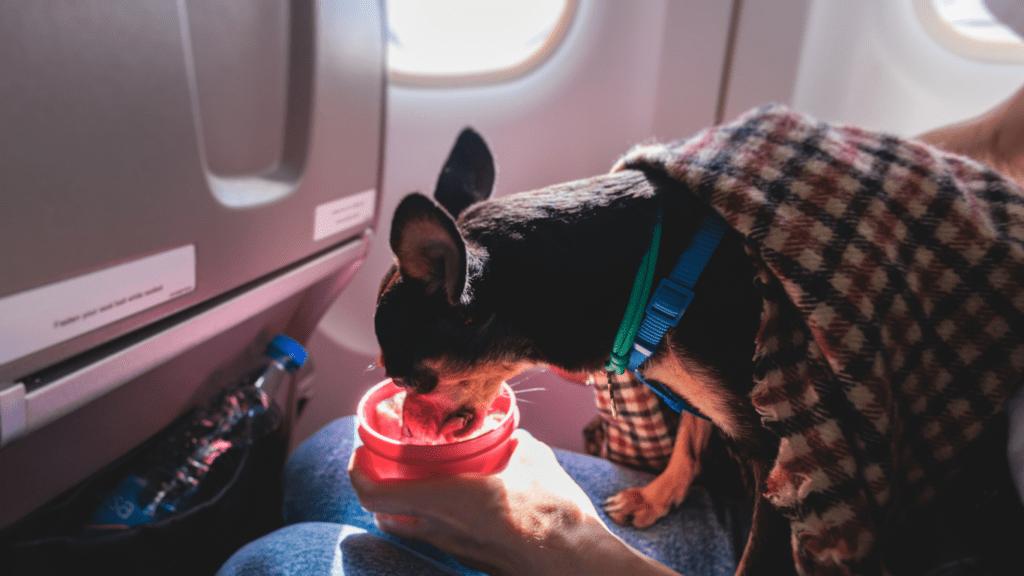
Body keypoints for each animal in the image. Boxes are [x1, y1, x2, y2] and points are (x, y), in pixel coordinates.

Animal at [374, 100, 1024, 569]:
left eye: (410, 378)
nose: (408, 421)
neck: (652, 276)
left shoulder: (778, 462)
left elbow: (759, 552)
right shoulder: (703, 388)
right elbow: (692, 430)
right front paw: (659, 494)